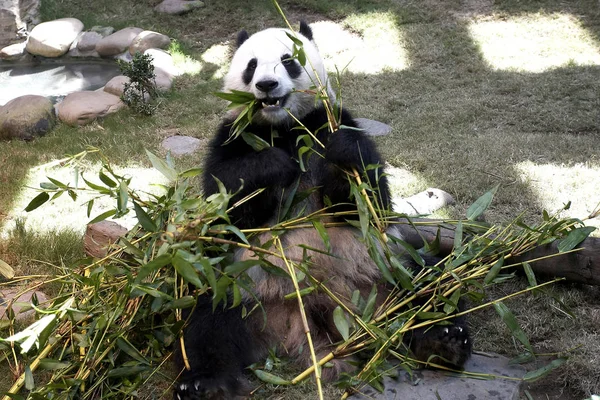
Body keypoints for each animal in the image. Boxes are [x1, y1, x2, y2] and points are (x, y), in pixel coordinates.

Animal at [175, 22, 474, 400]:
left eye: (289, 60)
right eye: (251, 66)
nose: (266, 85)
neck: (283, 127)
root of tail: (305, 319)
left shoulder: (329, 122)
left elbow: (367, 200)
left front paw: (343, 153)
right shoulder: (234, 135)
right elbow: (226, 203)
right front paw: (275, 166)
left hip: (385, 268)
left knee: (429, 286)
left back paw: (443, 340)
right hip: (237, 281)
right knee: (207, 320)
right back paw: (203, 383)